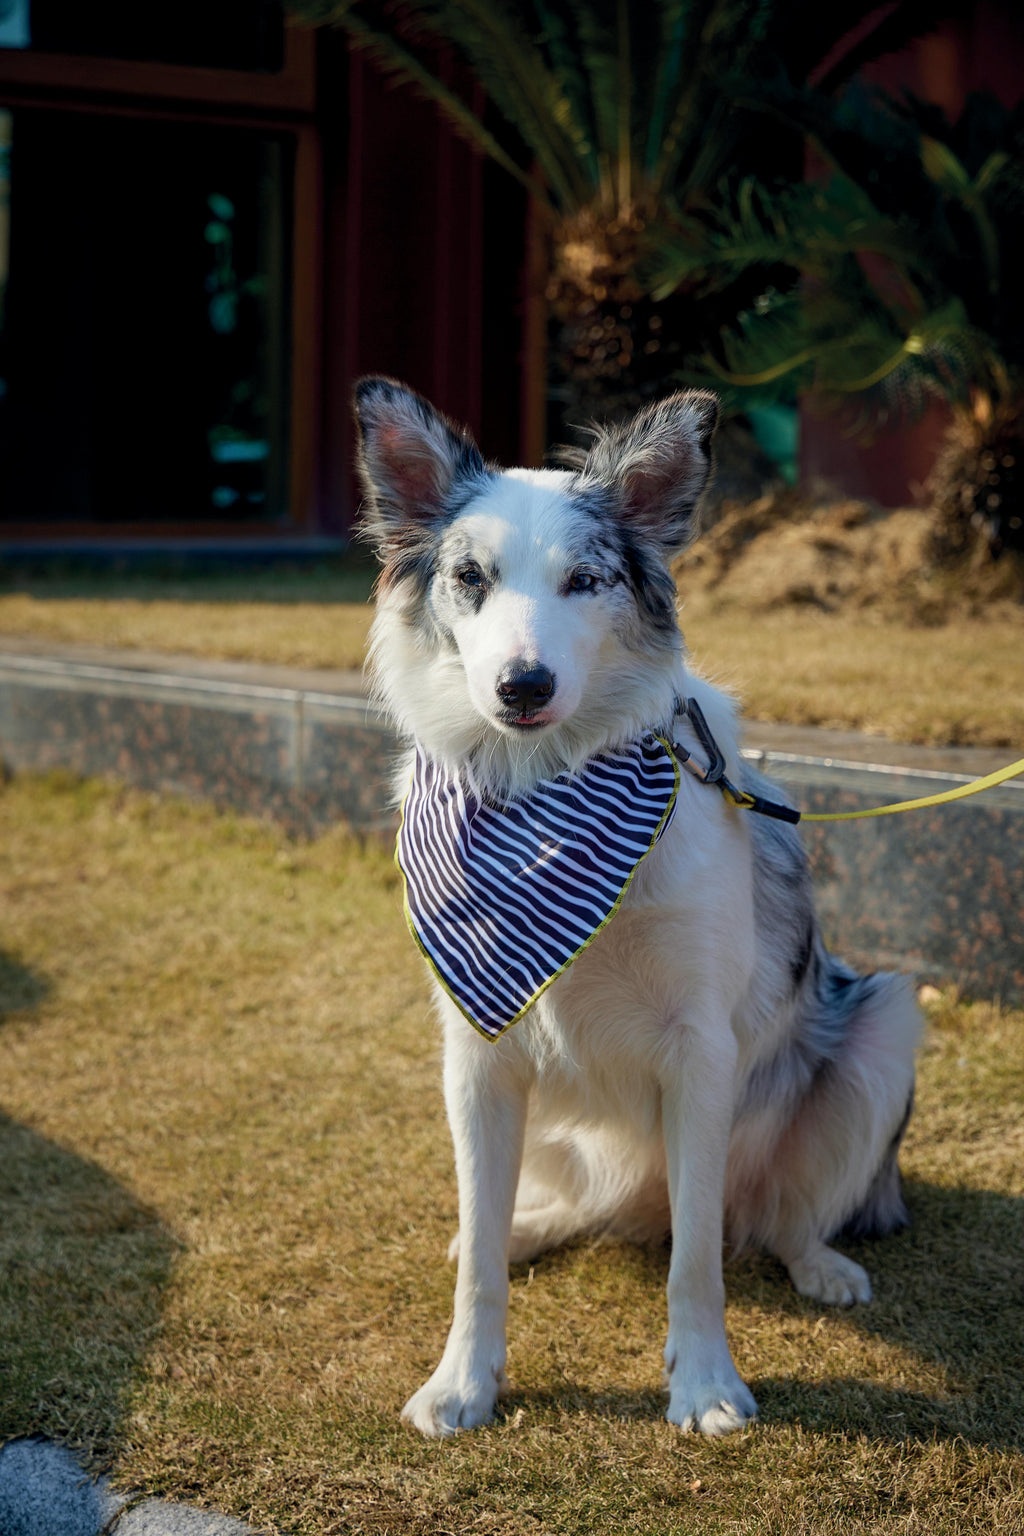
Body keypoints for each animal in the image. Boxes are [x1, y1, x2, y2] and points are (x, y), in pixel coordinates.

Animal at [356, 374, 927, 1437]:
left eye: (586, 580)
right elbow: (479, 1264)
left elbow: (697, 1261)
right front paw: (463, 1380)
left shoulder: (701, 1052)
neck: (545, 792)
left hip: (884, 1023)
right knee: (565, 1212)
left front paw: (705, 1383)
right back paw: (530, 1225)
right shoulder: (476, 1051)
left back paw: (821, 1263)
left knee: (776, 1216)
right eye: (470, 577)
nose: (523, 685)